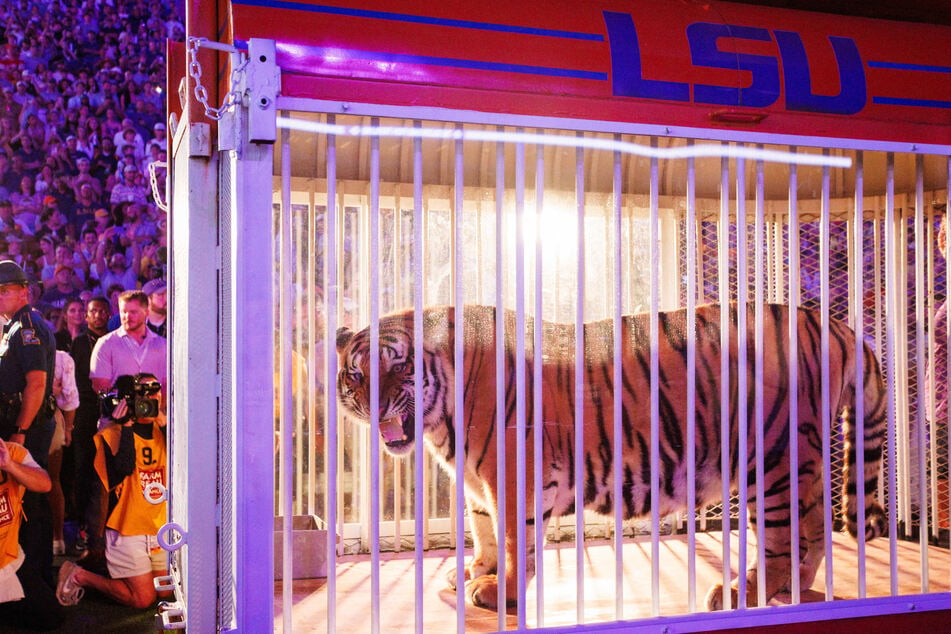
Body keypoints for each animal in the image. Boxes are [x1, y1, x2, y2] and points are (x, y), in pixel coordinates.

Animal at [336, 304, 892, 608]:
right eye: (357, 373)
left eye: (398, 365)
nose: (375, 404)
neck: (438, 422)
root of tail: (833, 324)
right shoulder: (475, 482)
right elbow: (484, 528)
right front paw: (475, 571)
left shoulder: (512, 475)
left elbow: (515, 539)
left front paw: (501, 592)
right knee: (814, 526)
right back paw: (794, 586)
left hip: (771, 460)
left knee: (786, 535)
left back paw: (740, 593)